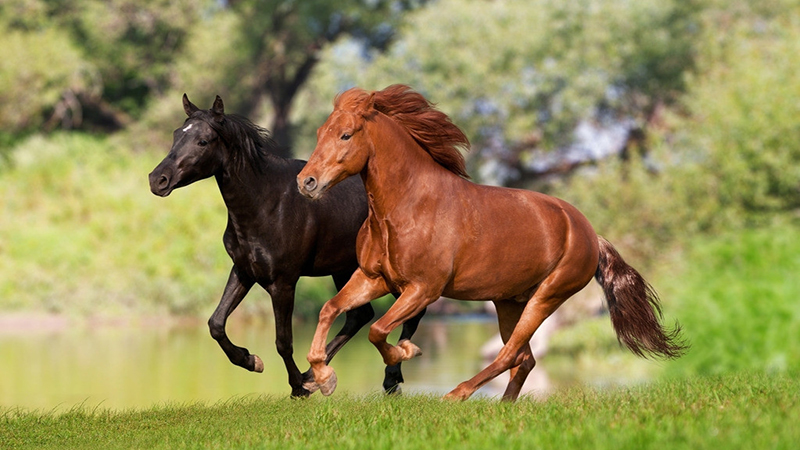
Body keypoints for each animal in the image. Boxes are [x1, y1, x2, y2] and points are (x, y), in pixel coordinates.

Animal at [148, 94, 425, 397]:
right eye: (177, 134)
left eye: (203, 141)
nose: (157, 180)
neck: (267, 204)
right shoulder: (244, 271)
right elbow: (216, 324)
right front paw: (252, 361)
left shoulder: (283, 282)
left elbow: (283, 341)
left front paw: (297, 387)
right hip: (344, 270)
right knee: (360, 316)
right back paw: (318, 376)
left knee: (410, 312)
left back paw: (389, 378)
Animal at [296, 85, 686, 401]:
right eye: (319, 133)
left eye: (345, 135)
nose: (306, 182)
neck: (407, 207)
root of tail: (590, 233)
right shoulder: (373, 278)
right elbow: (329, 308)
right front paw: (323, 378)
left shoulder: (423, 289)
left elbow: (378, 331)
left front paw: (407, 352)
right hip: (508, 302)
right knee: (525, 359)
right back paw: (503, 406)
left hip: (546, 297)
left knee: (510, 354)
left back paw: (456, 395)